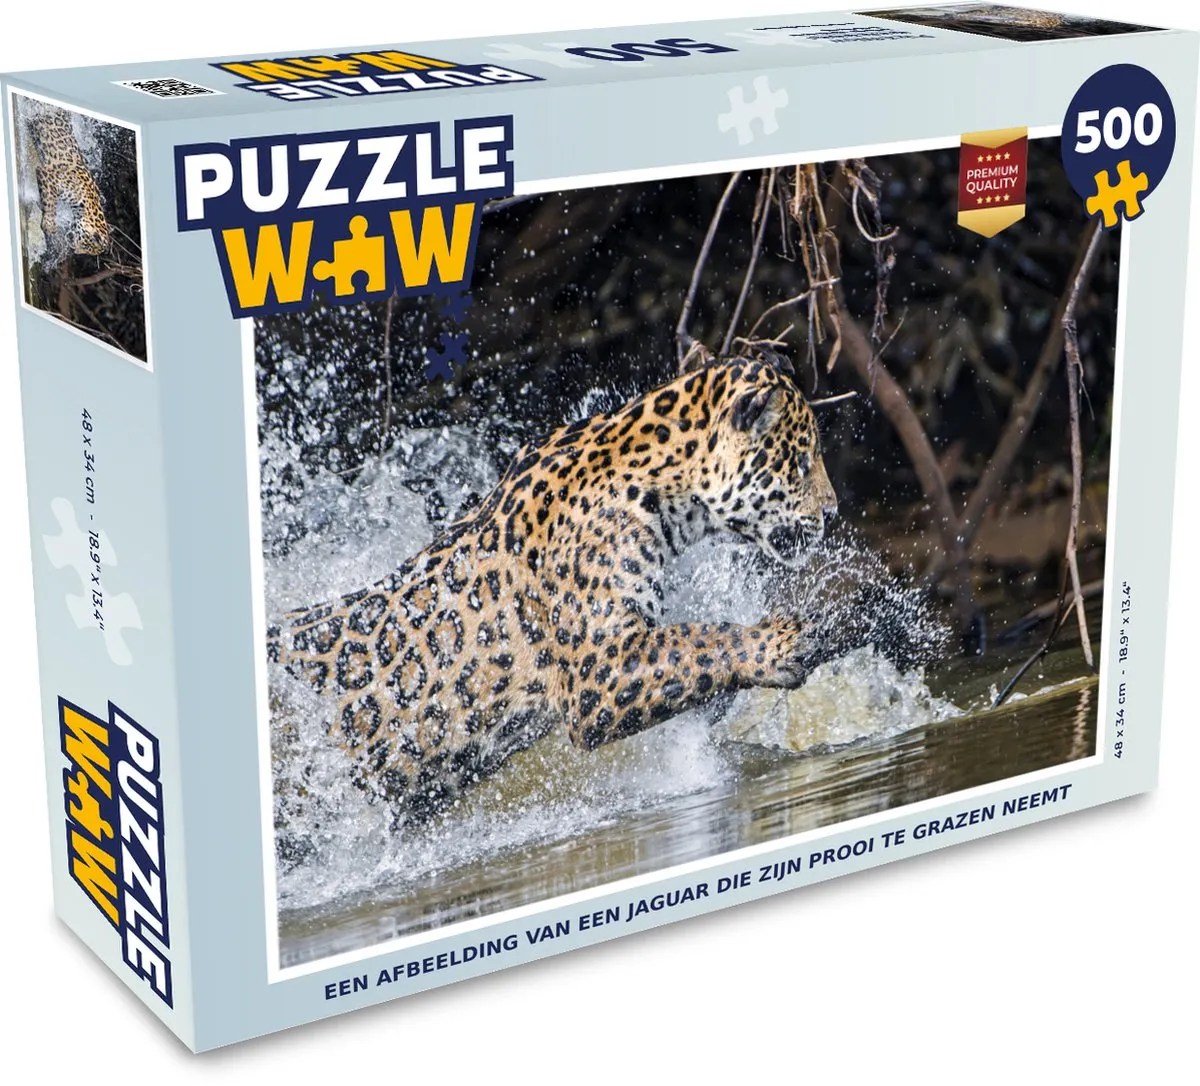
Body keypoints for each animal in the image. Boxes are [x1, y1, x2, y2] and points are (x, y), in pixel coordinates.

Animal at [27, 105, 112, 256]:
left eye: (87, 251)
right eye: (87, 245)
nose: (75, 250)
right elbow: (51, 202)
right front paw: (49, 224)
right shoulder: (49, 175)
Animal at [269, 357, 842, 823]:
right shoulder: (599, 668)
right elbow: (697, 640)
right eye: (802, 460)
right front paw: (782, 644)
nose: (834, 513)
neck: (665, 488)